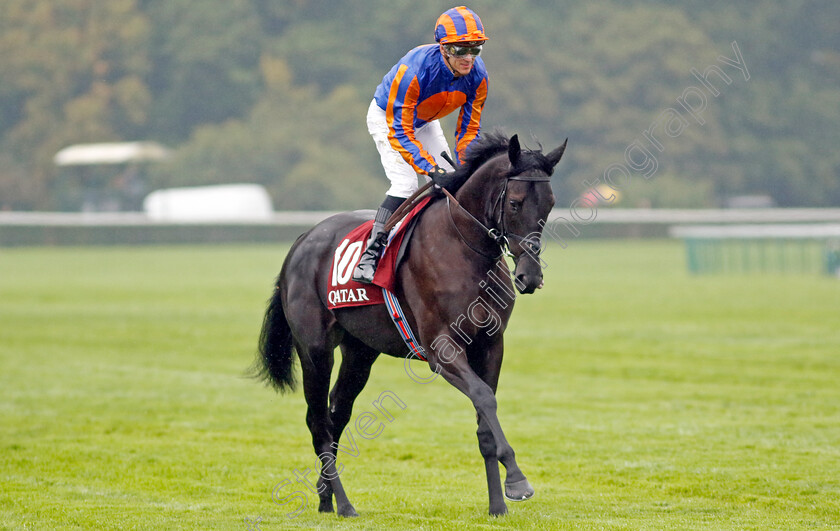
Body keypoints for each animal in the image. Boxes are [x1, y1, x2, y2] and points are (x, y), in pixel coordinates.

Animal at [254, 132, 564, 516]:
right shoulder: (441, 349)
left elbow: (485, 417)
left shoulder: (491, 344)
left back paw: (326, 497)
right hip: (314, 349)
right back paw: (344, 504)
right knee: (318, 422)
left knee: (337, 413)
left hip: (360, 352)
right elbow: (483, 397)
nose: (530, 276)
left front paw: (497, 504)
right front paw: (518, 481)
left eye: (550, 204)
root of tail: (301, 240)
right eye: (517, 203)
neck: (464, 248)